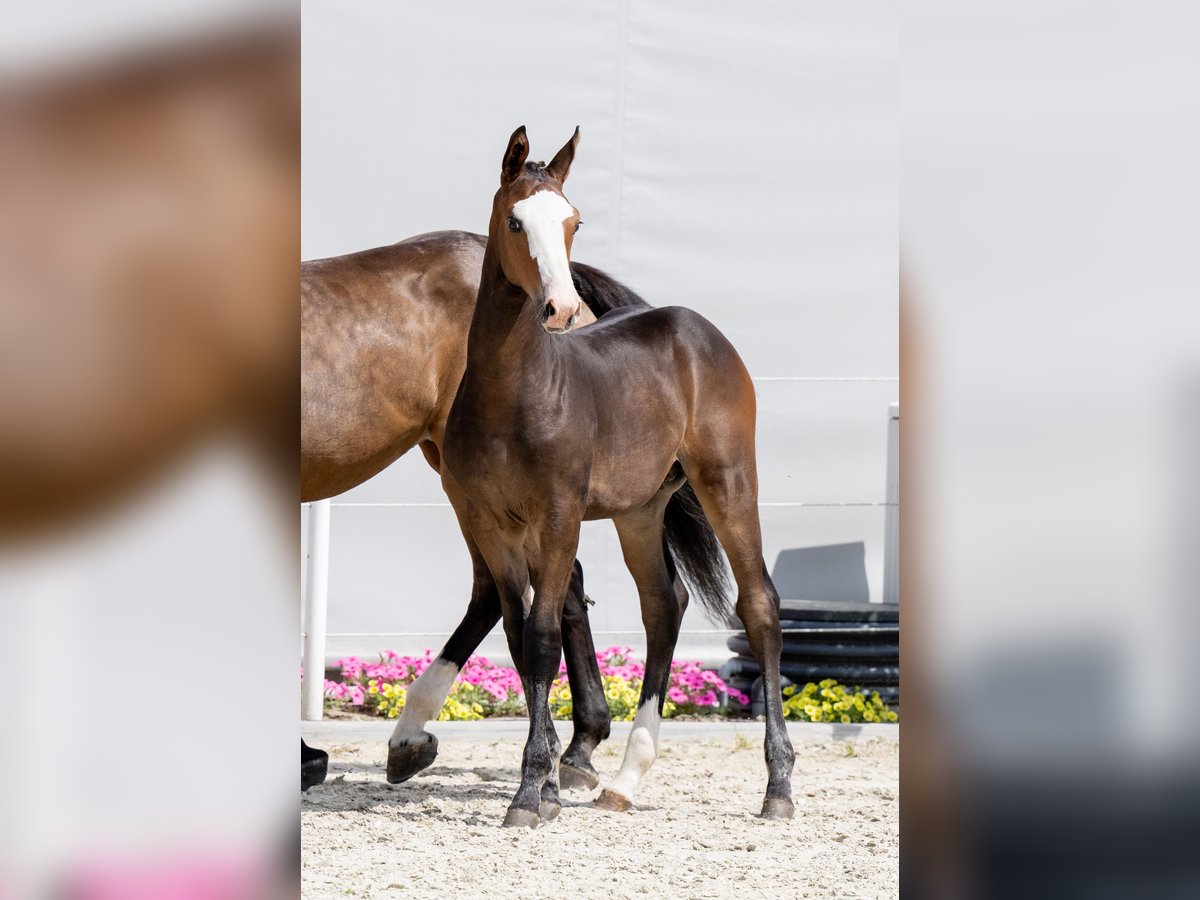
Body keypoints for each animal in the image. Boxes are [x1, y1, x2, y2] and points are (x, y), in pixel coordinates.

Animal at [444, 128, 796, 830]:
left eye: (574, 221)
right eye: (515, 220)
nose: (560, 308)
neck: (511, 397)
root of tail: (697, 328)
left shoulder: (558, 517)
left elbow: (545, 635)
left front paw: (531, 793)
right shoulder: (491, 526)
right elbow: (520, 639)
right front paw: (551, 784)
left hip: (728, 481)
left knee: (759, 605)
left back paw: (778, 786)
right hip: (641, 510)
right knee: (664, 603)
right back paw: (627, 779)